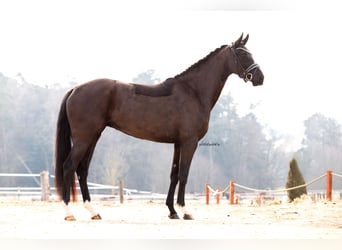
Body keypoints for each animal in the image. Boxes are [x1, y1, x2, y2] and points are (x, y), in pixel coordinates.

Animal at [54, 33, 264, 221]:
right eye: (243, 54)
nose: (260, 78)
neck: (194, 92)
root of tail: (75, 89)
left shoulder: (178, 144)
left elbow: (174, 175)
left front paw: (172, 211)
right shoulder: (189, 142)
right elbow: (184, 174)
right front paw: (185, 211)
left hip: (93, 137)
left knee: (82, 170)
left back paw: (93, 212)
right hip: (83, 139)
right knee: (68, 166)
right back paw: (68, 213)